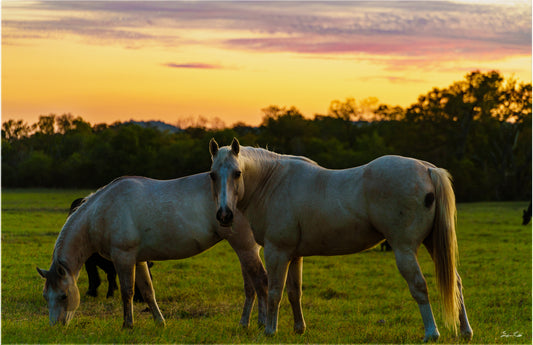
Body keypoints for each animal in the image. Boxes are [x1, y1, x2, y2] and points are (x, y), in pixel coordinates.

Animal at [36, 172, 266, 328]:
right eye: (46, 296)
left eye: (63, 296)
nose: (56, 327)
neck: (101, 211)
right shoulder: (138, 260)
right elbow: (147, 291)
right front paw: (160, 322)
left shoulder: (123, 257)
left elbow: (127, 292)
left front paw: (127, 325)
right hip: (245, 249)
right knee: (251, 287)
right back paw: (245, 323)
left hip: (244, 247)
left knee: (259, 282)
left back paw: (260, 325)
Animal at [209, 138, 474, 342]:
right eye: (212, 175)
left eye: (237, 173)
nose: (224, 215)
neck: (273, 182)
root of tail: (427, 169)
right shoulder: (294, 255)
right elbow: (295, 292)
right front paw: (299, 329)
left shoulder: (277, 252)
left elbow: (275, 291)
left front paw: (269, 331)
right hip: (433, 244)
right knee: (456, 284)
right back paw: (465, 332)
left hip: (404, 249)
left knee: (419, 286)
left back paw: (432, 333)